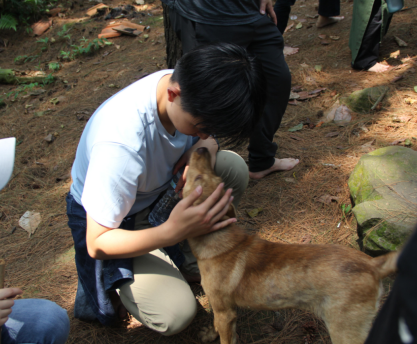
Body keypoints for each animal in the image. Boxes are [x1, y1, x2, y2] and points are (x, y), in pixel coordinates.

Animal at [182, 147, 396, 344]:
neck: (218, 236)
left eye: (198, 177)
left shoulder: (225, 312)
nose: (202, 148)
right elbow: (215, 326)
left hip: (345, 330)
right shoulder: (221, 310)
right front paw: (209, 334)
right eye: (216, 177)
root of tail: (373, 265)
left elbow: (225, 336)